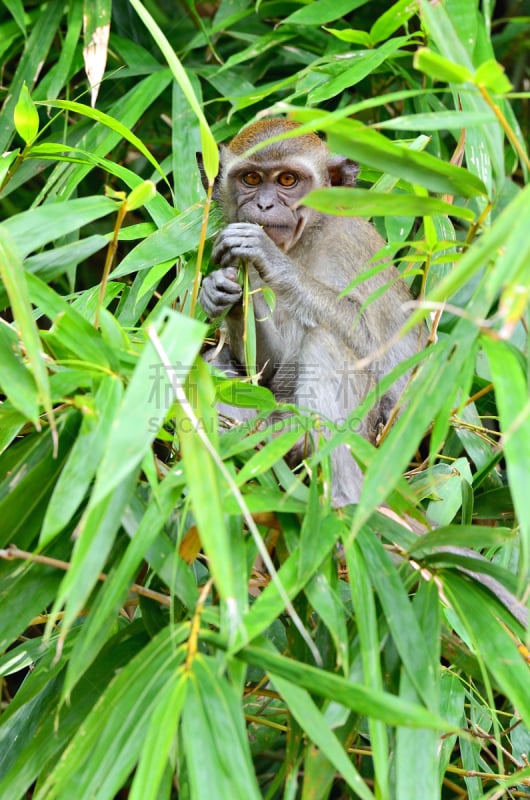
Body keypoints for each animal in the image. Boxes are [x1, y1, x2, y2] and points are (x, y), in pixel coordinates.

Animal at [196, 117, 422, 506]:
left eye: (288, 180)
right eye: (251, 178)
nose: (264, 205)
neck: (305, 239)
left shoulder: (349, 243)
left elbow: (370, 344)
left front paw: (271, 258)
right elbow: (265, 367)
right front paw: (221, 293)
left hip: (372, 438)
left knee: (326, 343)